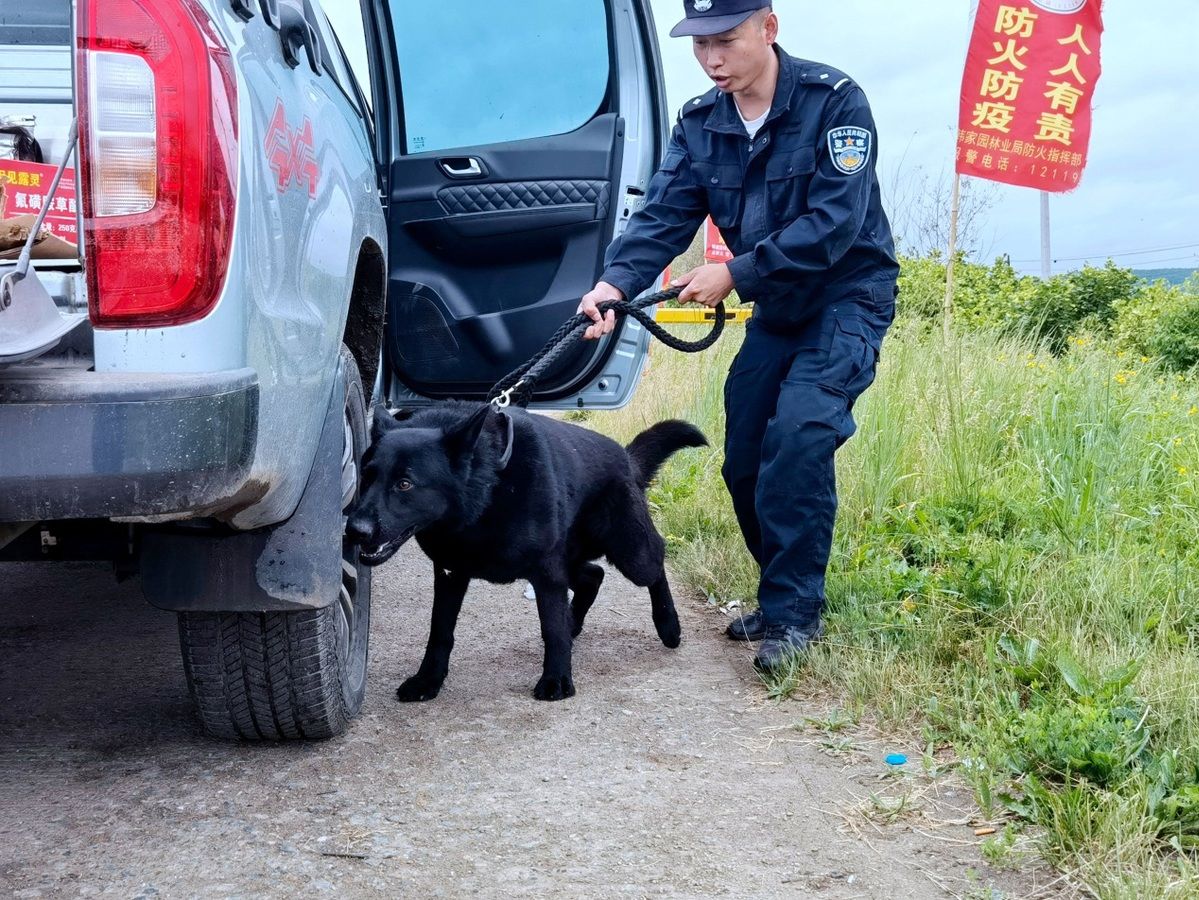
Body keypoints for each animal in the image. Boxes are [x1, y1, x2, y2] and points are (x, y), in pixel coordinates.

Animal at [345, 402, 700, 704]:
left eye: (405, 484)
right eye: (366, 477)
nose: (354, 531)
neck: (488, 490)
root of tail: (626, 457)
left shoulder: (547, 574)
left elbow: (552, 629)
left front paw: (557, 680)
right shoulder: (449, 576)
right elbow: (439, 632)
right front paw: (428, 680)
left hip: (630, 554)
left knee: (656, 563)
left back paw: (668, 624)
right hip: (570, 561)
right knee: (593, 575)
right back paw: (575, 622)